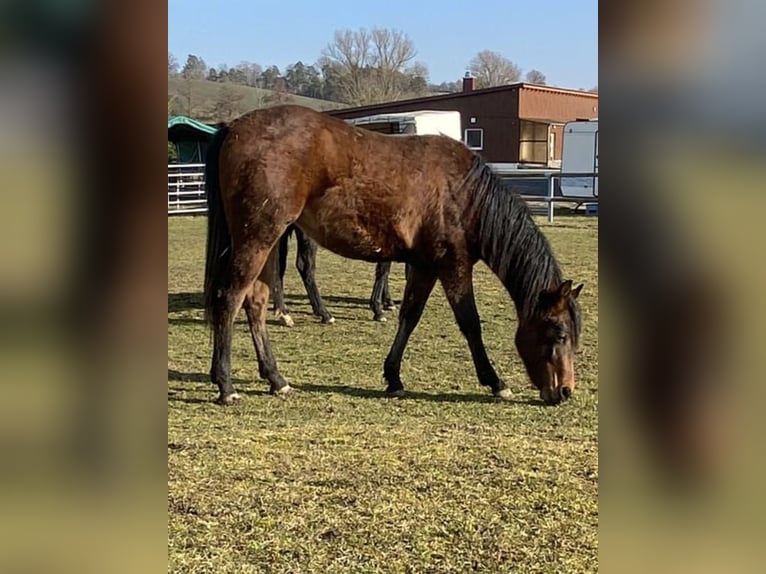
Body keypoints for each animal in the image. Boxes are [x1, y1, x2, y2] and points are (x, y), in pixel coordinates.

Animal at [269, 225, 400, 326]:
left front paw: (387, 302)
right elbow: (383, 270)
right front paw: (378, 309)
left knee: (279, 266)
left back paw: (282, 310)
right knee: (304, 266)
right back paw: (324, 314)